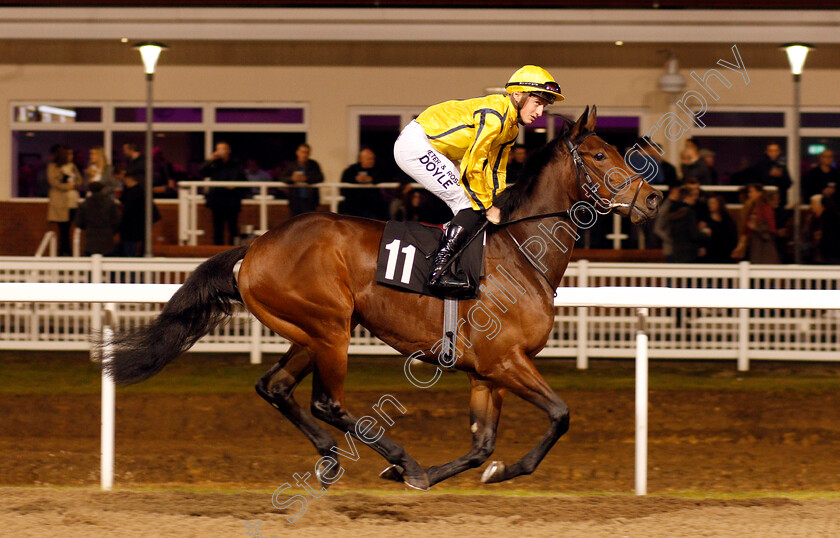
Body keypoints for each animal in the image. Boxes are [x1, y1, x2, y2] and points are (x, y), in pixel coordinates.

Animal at [106, 105, 664, 490]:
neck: (522, 253)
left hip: (312, 331)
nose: (653, 197)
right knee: (327, 401)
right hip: (330, 327)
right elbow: (559, 414)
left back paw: (337, 459)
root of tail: (257, 244)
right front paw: (480, 472)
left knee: (275, 387)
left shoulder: (486, 372)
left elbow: (482, 445)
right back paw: (400, 458)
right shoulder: (507, 361)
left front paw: (444, 475)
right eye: (599, 155)